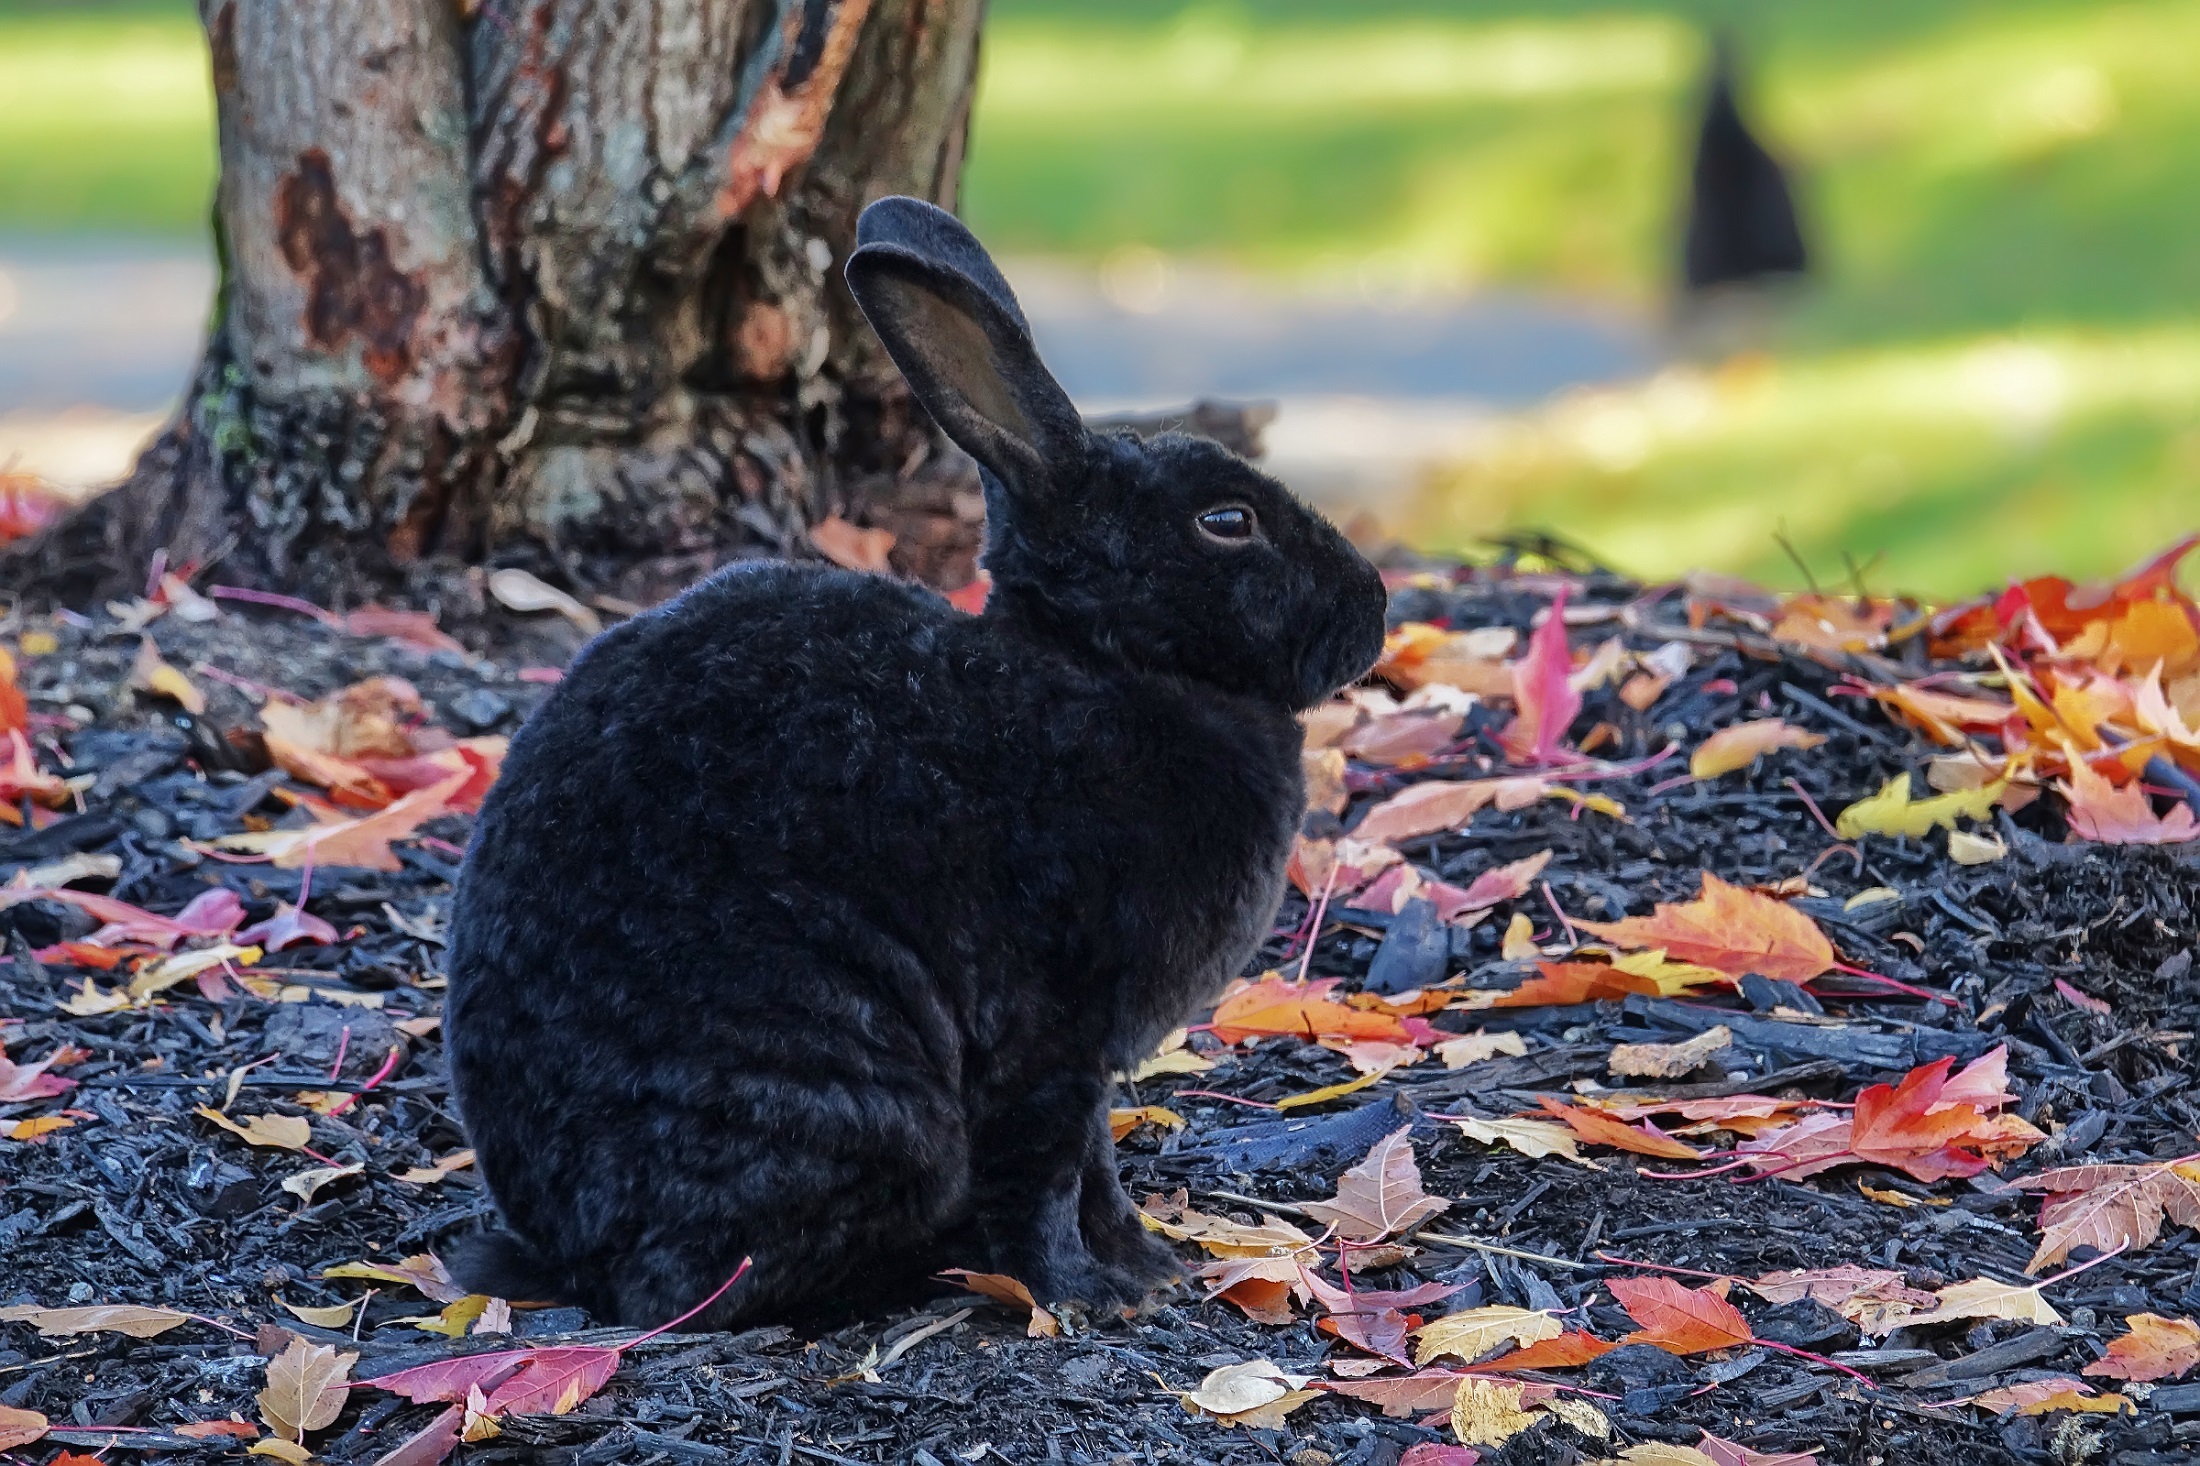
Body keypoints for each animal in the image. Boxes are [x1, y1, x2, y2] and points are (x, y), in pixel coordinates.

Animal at [437, 193, 1381, 1320]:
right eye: (1227, 521)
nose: (1375, 606)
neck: (1103, 659)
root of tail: (570, 1255)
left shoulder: (1084, 1057)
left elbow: (1097, 1164)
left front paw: (1151, 1266)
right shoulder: (1047, 1033)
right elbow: (1052, 1170)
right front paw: (1091, 1293)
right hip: (853, 1097)